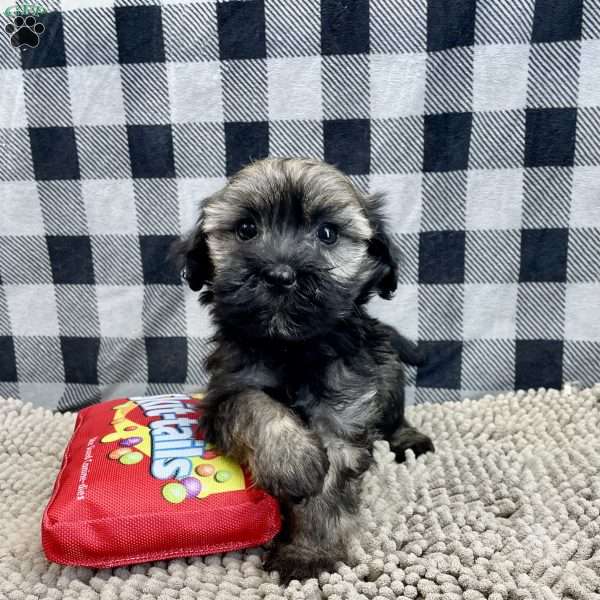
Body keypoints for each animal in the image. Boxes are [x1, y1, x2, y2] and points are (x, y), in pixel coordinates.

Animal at [176, 156, 434, 580]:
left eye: (327, 233)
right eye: (246, 229)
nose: (280, 274)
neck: (292, 348)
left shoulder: (342, 412)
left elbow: (327, 490)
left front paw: (309, 551)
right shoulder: (225, 391)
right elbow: (255, 404)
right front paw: (292, 460)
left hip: (388, 378)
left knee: (394, 415)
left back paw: (408, 439)